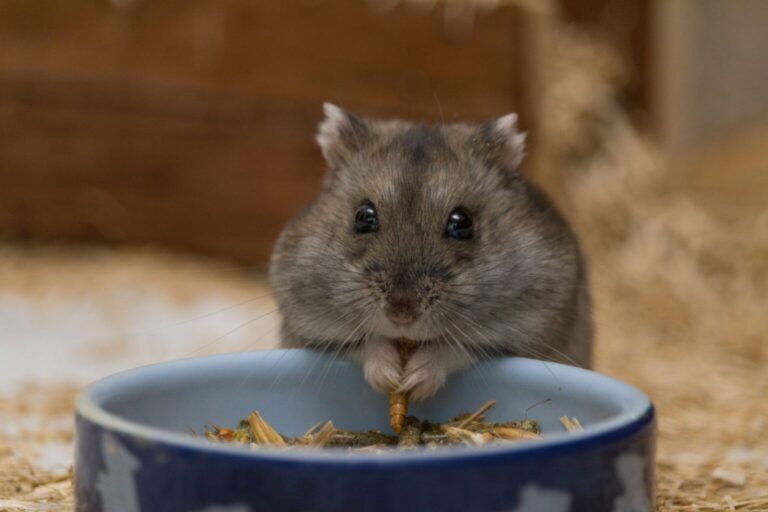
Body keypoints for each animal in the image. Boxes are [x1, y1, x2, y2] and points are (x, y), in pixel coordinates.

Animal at [270, 103, 592, 400]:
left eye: (462, 223)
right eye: (363, 217)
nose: (401, 313)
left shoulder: (526, 330)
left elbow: (454, 348)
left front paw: (414, 382)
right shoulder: (305, 328)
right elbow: (362, 344)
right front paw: (390, 379)